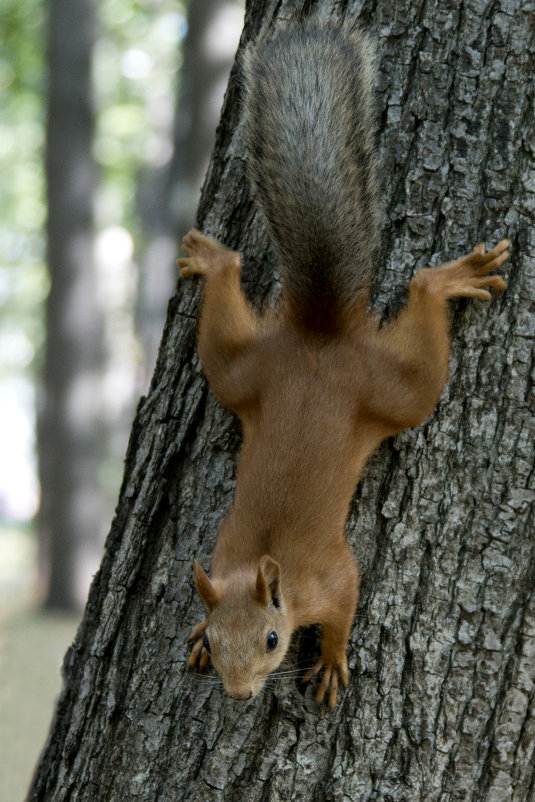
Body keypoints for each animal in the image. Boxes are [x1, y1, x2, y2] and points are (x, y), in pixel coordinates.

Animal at [178, 20, 508, 708]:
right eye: (220, 643)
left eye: (272, 641)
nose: (241, 695)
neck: (267, 564)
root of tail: (321, 337)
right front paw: (192, 632)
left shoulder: (334, 576)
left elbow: (346, 609)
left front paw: (331, 661)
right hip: (242, 373)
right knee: (229, 285)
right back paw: (211, 257)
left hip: (394, 390)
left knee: (423, 310)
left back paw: (452, 278)